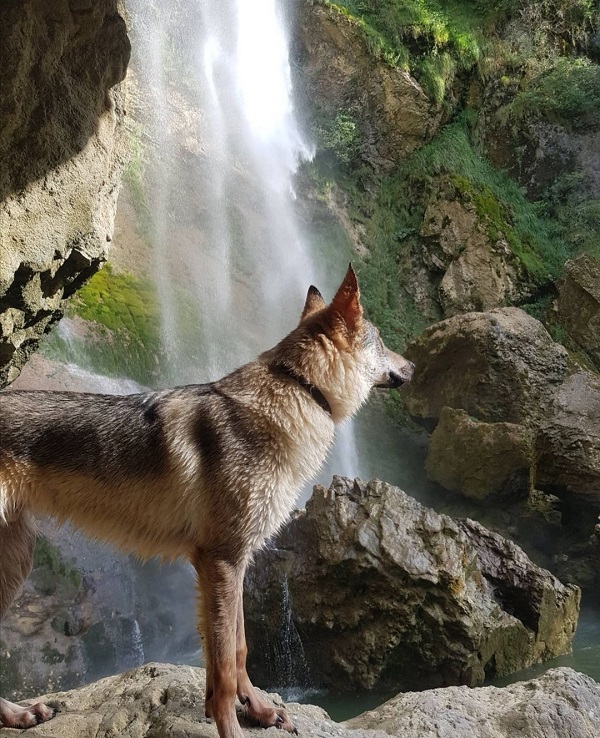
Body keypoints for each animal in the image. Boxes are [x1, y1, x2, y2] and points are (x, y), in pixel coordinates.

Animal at [0, 268, 412, 736]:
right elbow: (225, 672)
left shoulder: (235, 563)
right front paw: (231, 725)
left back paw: (18, 715)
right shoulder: (221, 561)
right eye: (382, 341)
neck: (299, 389)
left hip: (17, 562)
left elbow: (238, 651)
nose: (414, 366)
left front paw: (259, 710)